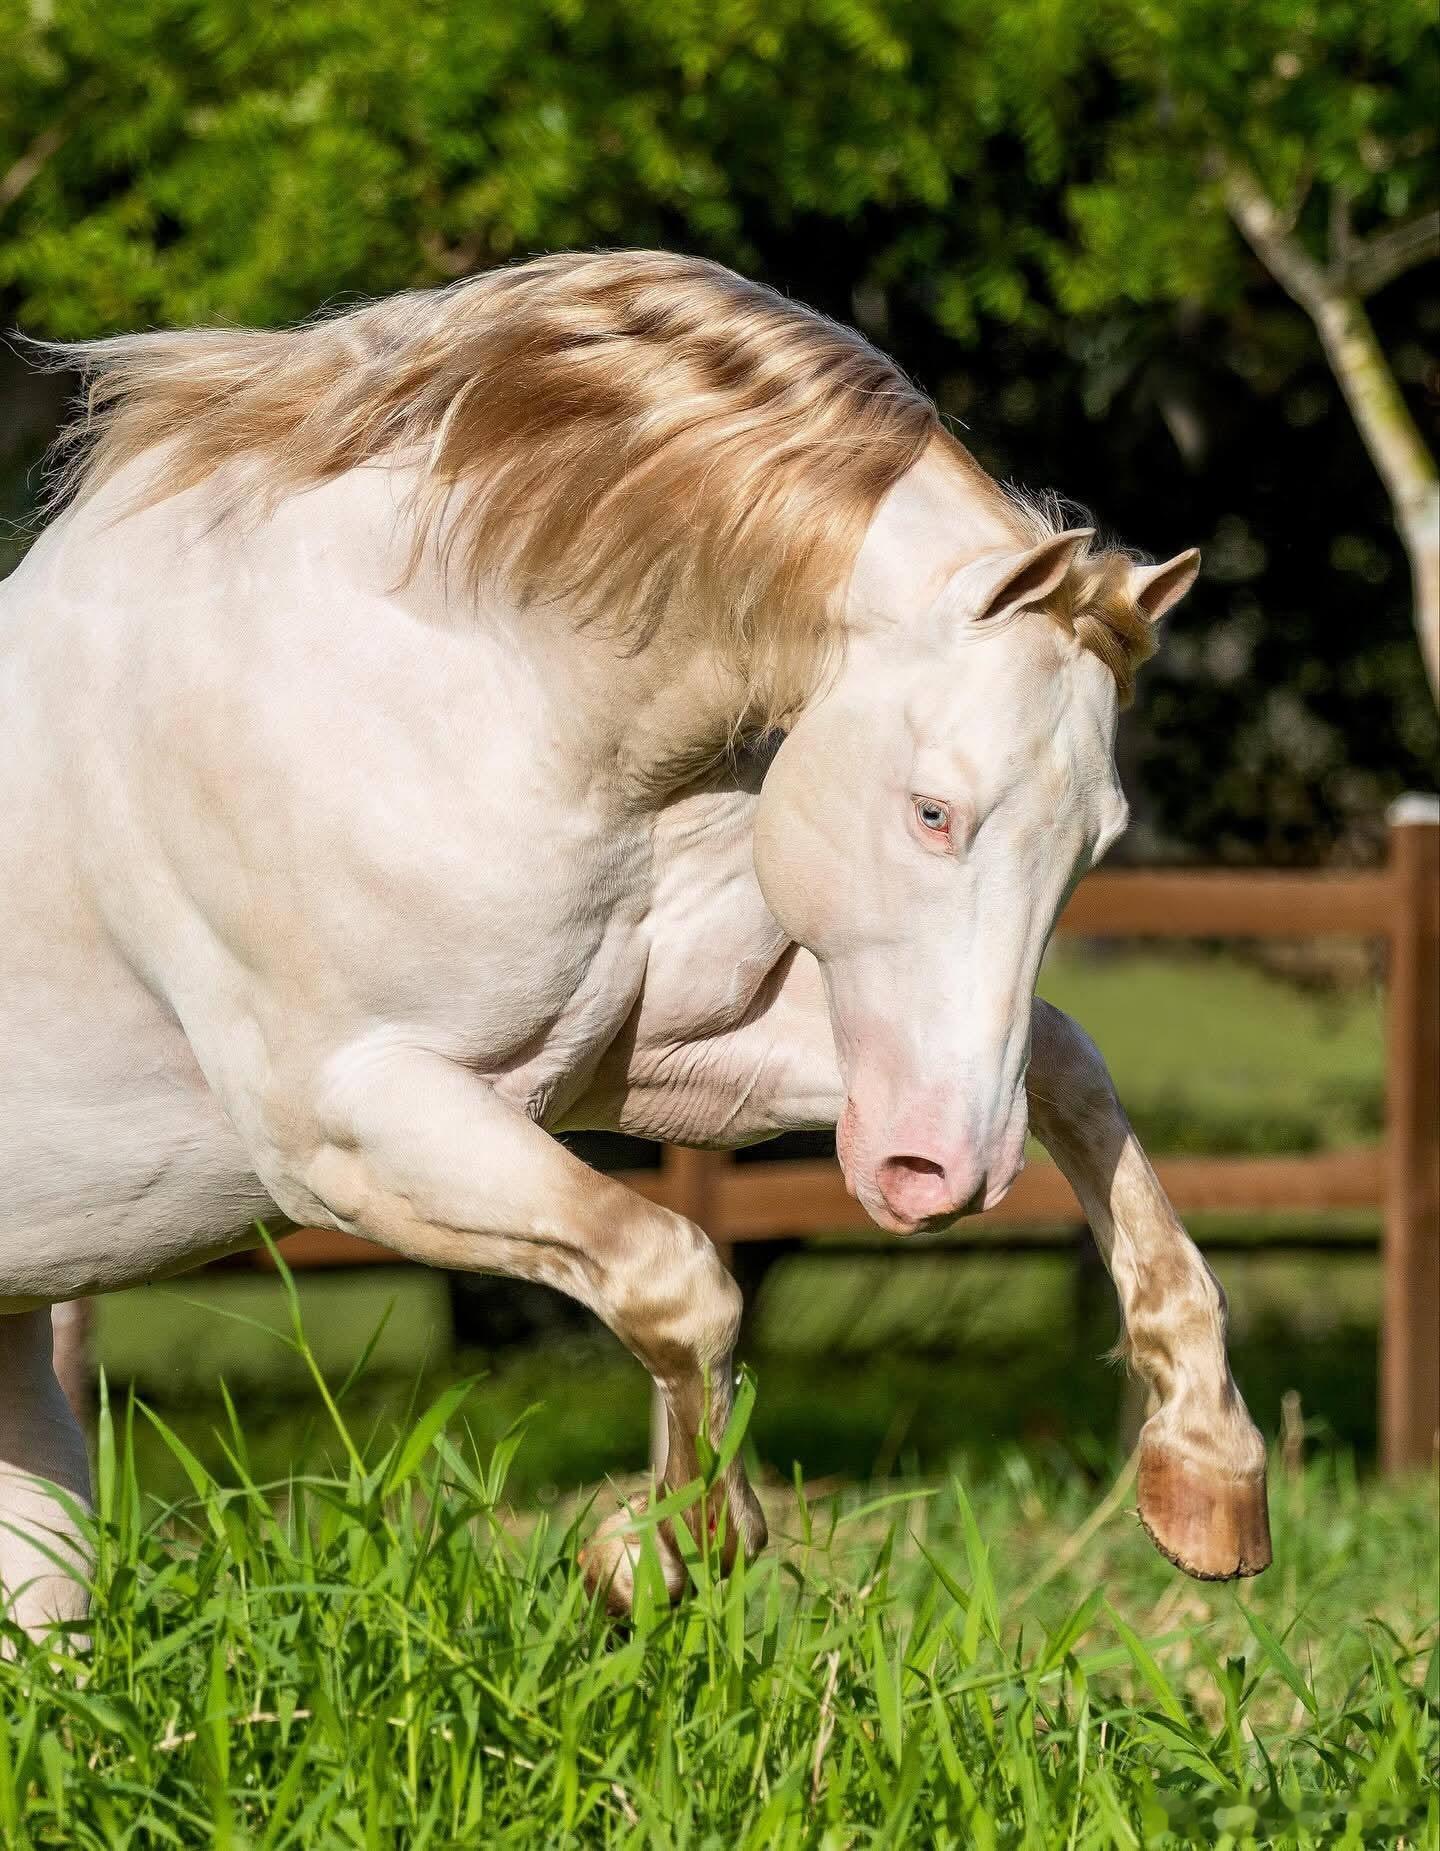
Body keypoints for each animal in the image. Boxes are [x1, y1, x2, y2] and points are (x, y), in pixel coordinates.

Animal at [0, 251, 1270, 1633]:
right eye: (935, 811)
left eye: (1099, 841)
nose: (944, 1176)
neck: (440, 684)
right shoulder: (341, 1124)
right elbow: (679, 1276)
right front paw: (662, 1547)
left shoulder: (645, 1067)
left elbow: (1070, 1067)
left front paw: (1208, 1480)